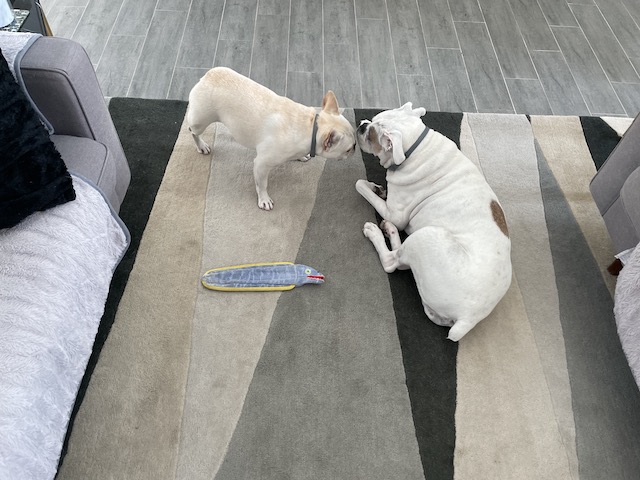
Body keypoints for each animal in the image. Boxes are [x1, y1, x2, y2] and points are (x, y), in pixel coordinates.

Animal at [186, 67, 356, 210]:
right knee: (192, 131)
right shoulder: (262, 164)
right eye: (348, 149)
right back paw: (201, 145)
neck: (311, 129)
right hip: (200, 120)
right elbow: (262, 184)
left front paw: (302, 156)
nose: (355, 147)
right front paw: (264, 199)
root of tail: (208, 75)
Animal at [355, 104, 512, 341]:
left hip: (427, 236)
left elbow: (359, 184)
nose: (362, 125)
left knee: (392, 263)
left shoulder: (395, 213)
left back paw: (378, 230)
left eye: (372, 135)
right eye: (372, 122)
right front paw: (378, 188)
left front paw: (372, 189)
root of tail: (469, 318)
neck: (416, 149)